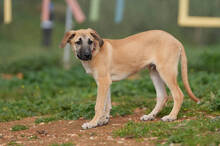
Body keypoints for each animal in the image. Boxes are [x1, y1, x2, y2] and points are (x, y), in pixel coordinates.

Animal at [59, 28, 200, 129]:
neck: (96, 51)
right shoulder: (106, 83)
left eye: (90, 41)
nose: (88, 55)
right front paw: (103, 120)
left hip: (166, 71)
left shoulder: (103, 82)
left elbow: (99, 105)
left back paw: (171, 116)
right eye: (78, 42)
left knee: (178, 94)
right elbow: (106, 104)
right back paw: (150, 116)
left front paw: (92, 123)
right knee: (162, 96)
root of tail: (175, 40)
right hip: (154, 72)